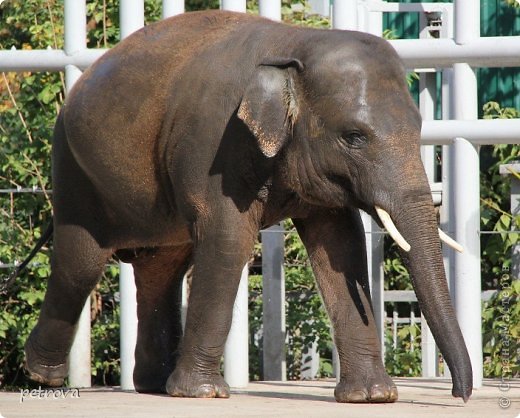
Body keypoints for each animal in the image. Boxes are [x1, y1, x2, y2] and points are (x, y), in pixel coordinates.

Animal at [21, 9, 472, 402]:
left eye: (419, 128)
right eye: (354, 137)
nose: (459, 395)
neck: (295, 44)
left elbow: (340, 247)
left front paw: (373, 397)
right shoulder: (216, 144)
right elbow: (228, 241)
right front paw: (204, 393)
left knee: (160, 269)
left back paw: (153, 385)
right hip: (75, 168)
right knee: (81, 262)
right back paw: (43, 378)